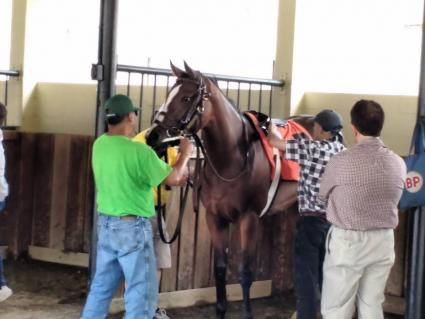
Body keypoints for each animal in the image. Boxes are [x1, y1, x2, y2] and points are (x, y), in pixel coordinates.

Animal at [146, 63, 314, 319]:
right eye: (169, 95)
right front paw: (221, 310)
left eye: (186, 98)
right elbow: (220, 270)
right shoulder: (214, 218)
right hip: (296, 208)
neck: (233, 160)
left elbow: (245, 272)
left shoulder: (249, 219)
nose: (153, 135)